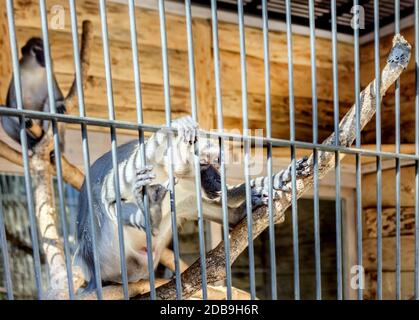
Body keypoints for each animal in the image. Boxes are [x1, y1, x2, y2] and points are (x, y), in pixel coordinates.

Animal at [74, 116, 312, 292]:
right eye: (204, 163)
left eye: (217, 162)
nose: (217, 178)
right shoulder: (142, 164)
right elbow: (107, 196)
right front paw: (176, 125)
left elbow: (217, 196)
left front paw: (275, 179)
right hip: (108, 255)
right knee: (105, 208)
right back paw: (150, 212)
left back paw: (237, 214)